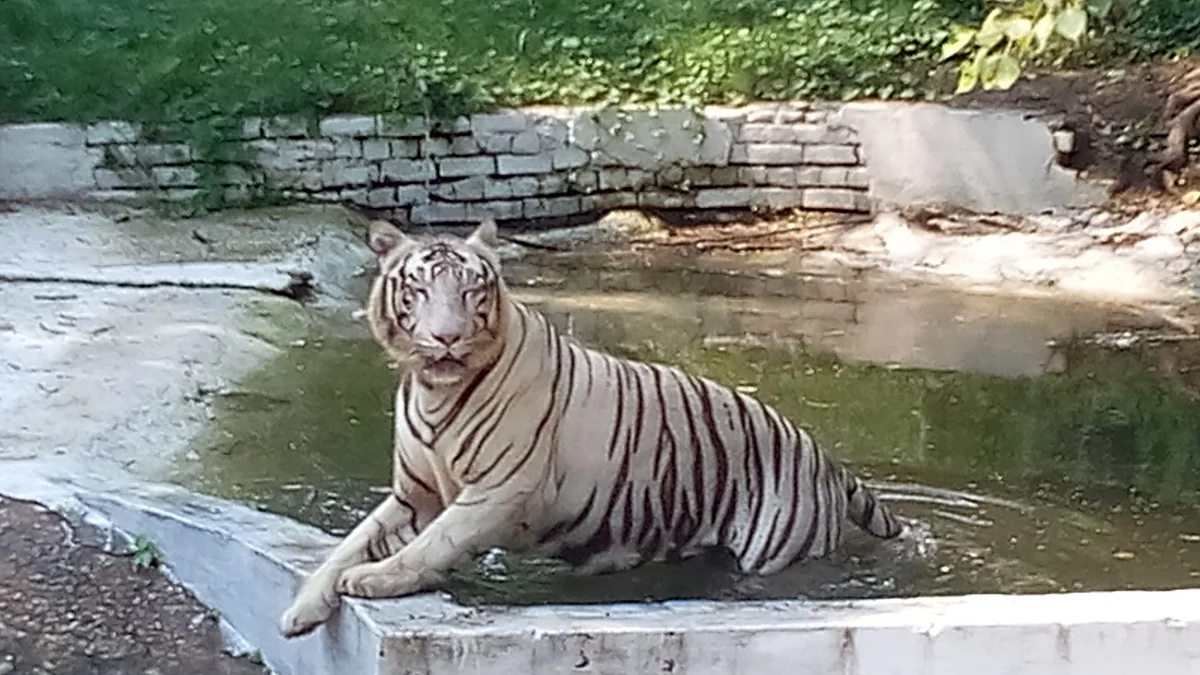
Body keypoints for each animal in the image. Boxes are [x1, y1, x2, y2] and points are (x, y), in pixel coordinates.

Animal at [278, 218, 905, 638]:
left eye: (471, 291)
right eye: (419, 290)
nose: (447, 338)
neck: (437, 391)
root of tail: (825, 458)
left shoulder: (496, 491)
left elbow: (432, 546)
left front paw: (376, 579)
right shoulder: (414, 495)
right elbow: (346, 547)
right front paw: (302, 608)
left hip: (773, 550)